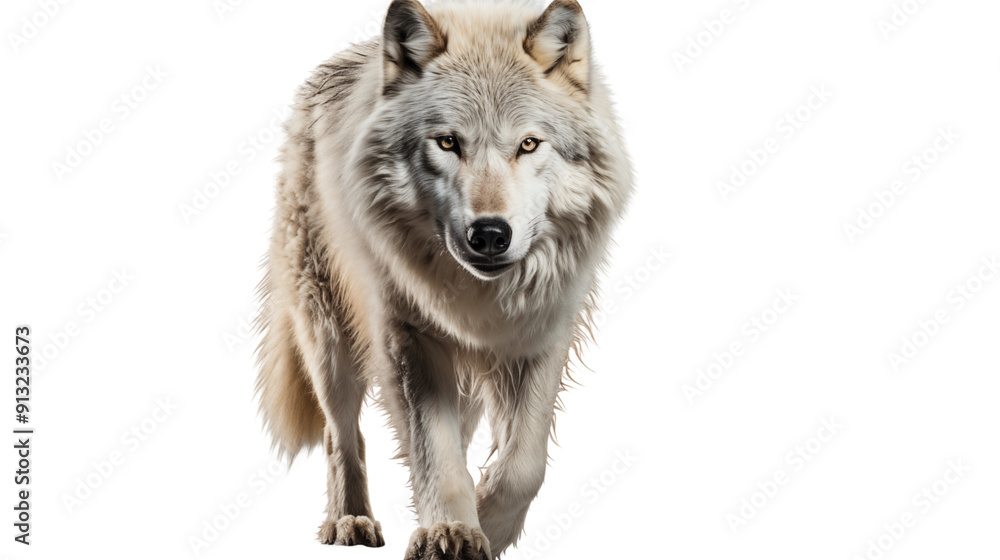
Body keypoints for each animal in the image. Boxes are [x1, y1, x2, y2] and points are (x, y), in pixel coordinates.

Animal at [254, 0, 633, 558]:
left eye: (528, 144)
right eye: (449, 142)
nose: (490, 234)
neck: (481, 296)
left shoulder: (544, 332)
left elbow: (524, 465)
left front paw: (489, 525)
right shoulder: (409, 336)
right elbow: (433, 449)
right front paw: (451, 530)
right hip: (329, 335)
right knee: (340, 433)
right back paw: (350, 521)